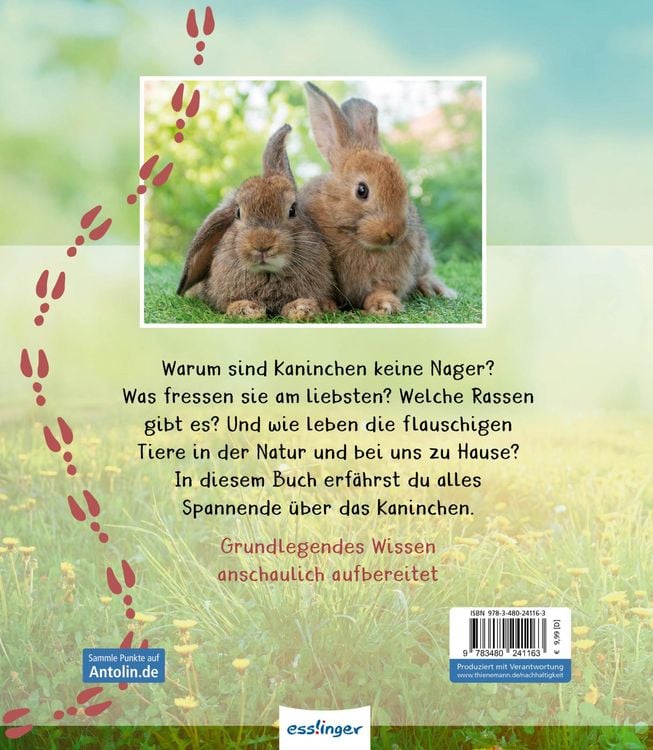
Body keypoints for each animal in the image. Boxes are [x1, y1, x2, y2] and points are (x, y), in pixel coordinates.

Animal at [177, 124, 337, 321]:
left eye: (292, 210)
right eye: (238, 212)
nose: (262, 244)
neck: (267, 273)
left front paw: (303, 309)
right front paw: (247, 310)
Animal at [300, 82, 457, 315]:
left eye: (404, 187)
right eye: (362, 190)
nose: (395, 232)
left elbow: (380, 290)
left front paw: (385, 305)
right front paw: (324, 305)